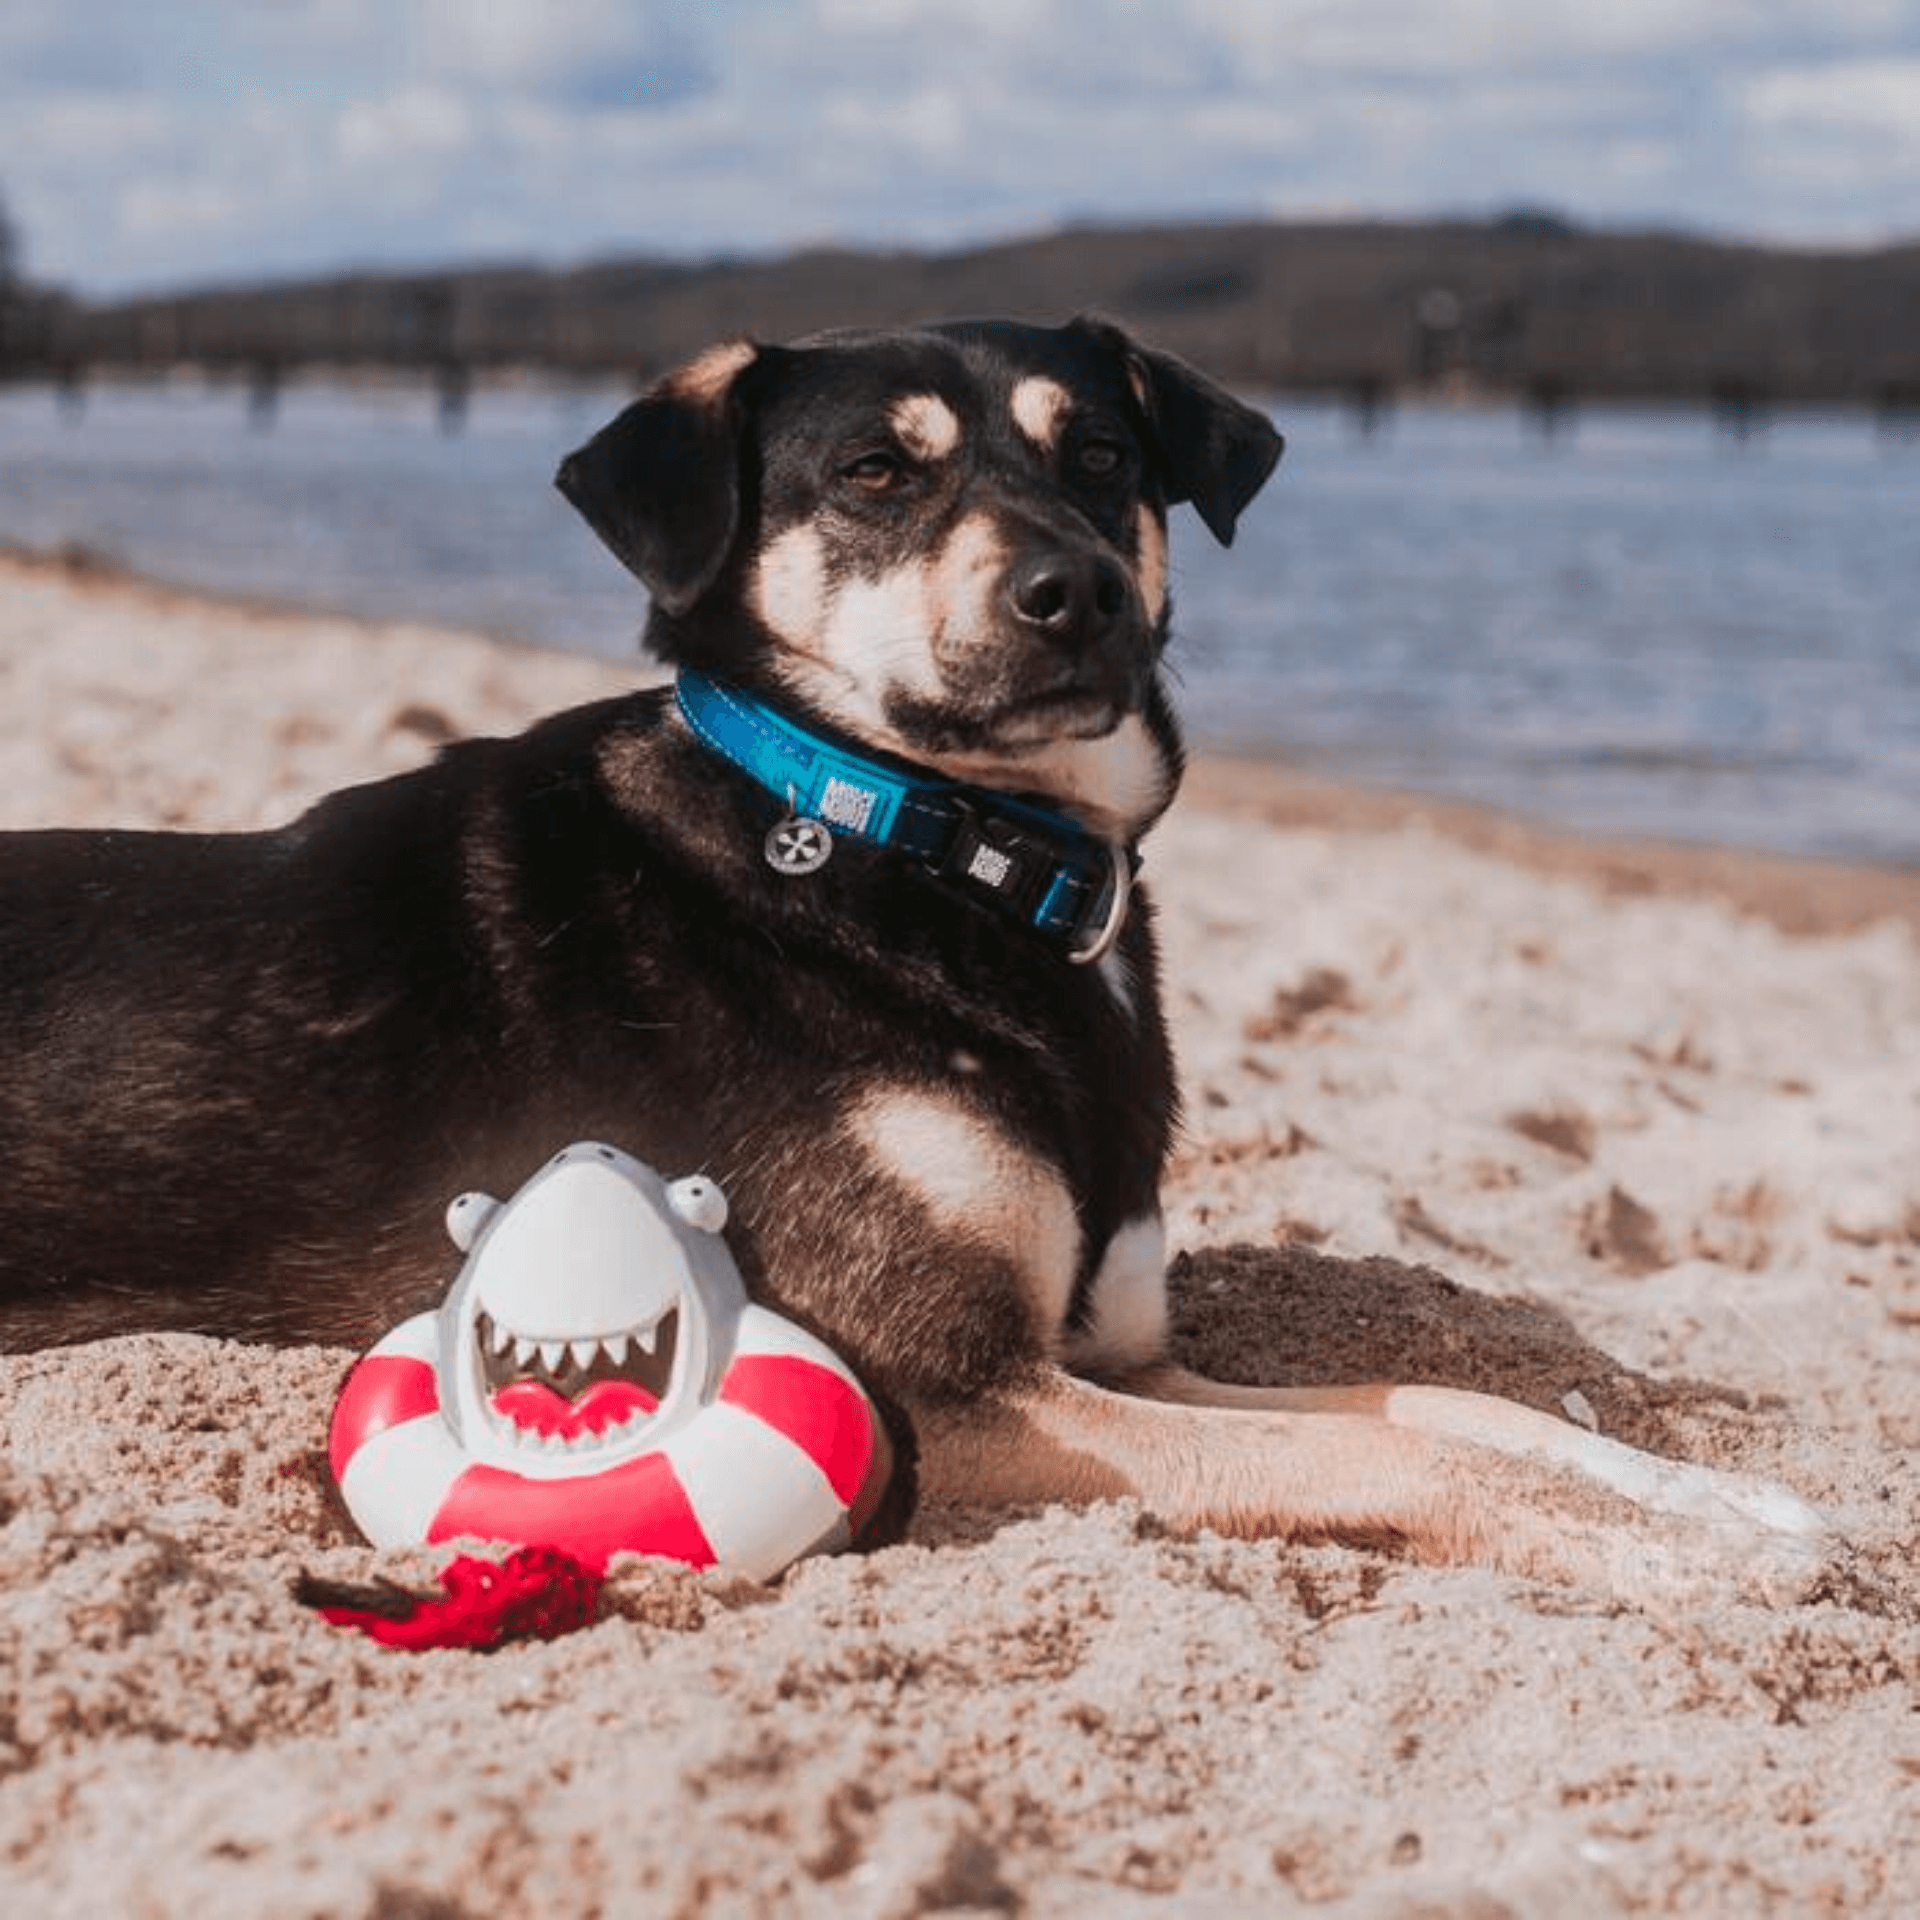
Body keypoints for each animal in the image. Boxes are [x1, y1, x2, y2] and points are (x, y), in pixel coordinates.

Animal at [0, 322, 1827, 1597]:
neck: (927, 849)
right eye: (877, 474)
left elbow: (1439, 1403)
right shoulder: (949, 1391)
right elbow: (1409, 1464)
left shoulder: (1120, 1354)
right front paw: (1672, 1555)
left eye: (1104, 454)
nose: (1075, 591)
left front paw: (1725, 1501)